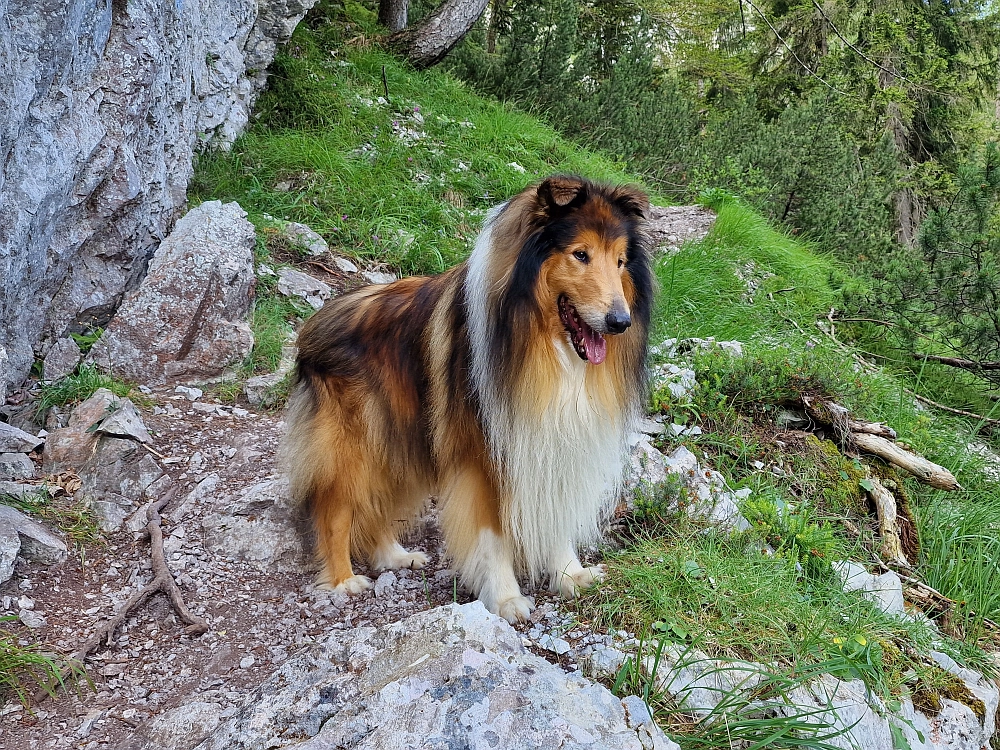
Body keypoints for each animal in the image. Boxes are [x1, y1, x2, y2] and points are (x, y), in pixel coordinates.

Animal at [286, 176, 652, 624]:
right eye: (580, 254)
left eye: (620, 261)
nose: (620, 322)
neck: (549, 348)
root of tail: (316, 321)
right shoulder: (484, 457)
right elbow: (491, 536)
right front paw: (507, 599)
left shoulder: (553, 444)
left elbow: (556, 517)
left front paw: (571, 574)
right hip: (357, 446)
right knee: (336, 507)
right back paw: (343, 579)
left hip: (402, 437)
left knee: (378, 504)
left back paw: (394, 556)